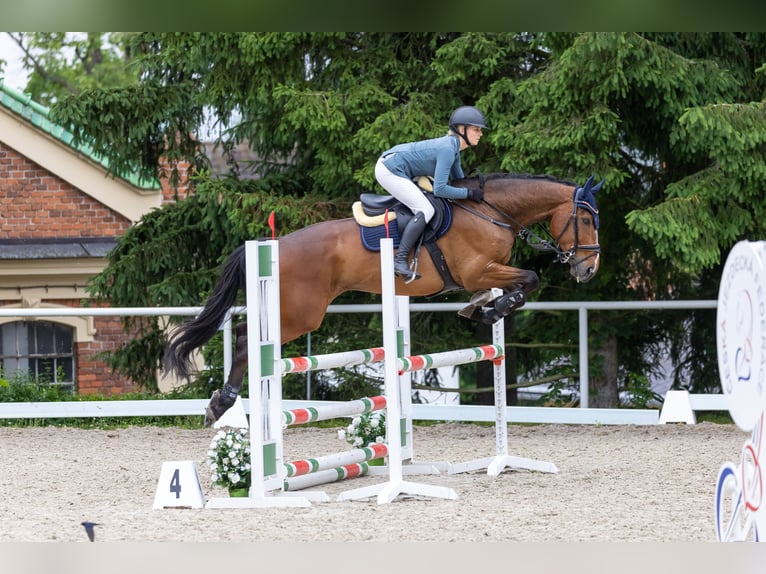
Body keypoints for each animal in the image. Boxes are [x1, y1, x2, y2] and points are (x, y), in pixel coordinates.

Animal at [163, 173, 603, 425]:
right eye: (584, 219)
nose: (589, 270)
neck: (491, 211)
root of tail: (274, 245)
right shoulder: (477, 269)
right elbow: (529, 279)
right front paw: (492, 309)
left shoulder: (488, 271)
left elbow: (518, 286)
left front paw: (482, 307)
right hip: (301, 314)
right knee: (244, 339)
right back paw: (222, 404)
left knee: (244, 334)